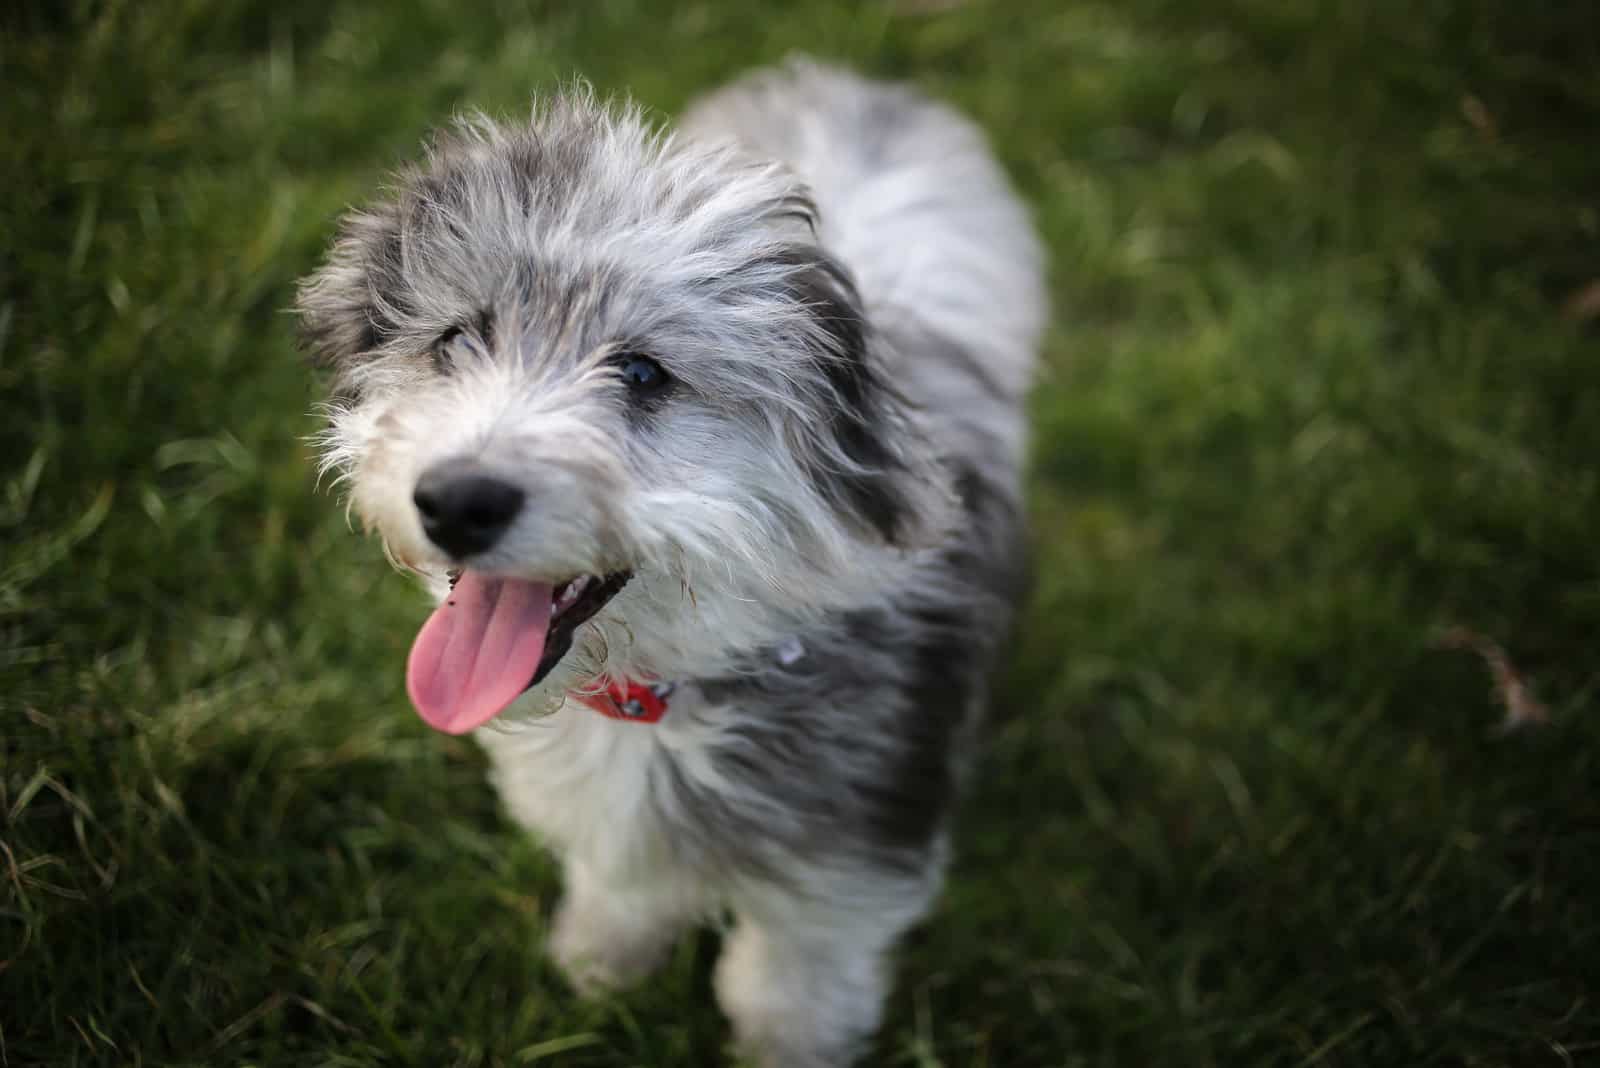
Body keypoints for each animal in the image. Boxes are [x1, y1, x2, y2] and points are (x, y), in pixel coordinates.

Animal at [297, 58, 1049, 1068]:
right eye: (456, 341)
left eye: (645, 374)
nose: (455, 502)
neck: (667, 690)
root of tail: (856, 82)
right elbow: (624, 893)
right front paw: (598, 970)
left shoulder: (848, 866)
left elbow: (791, 985)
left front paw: (789, 1047)